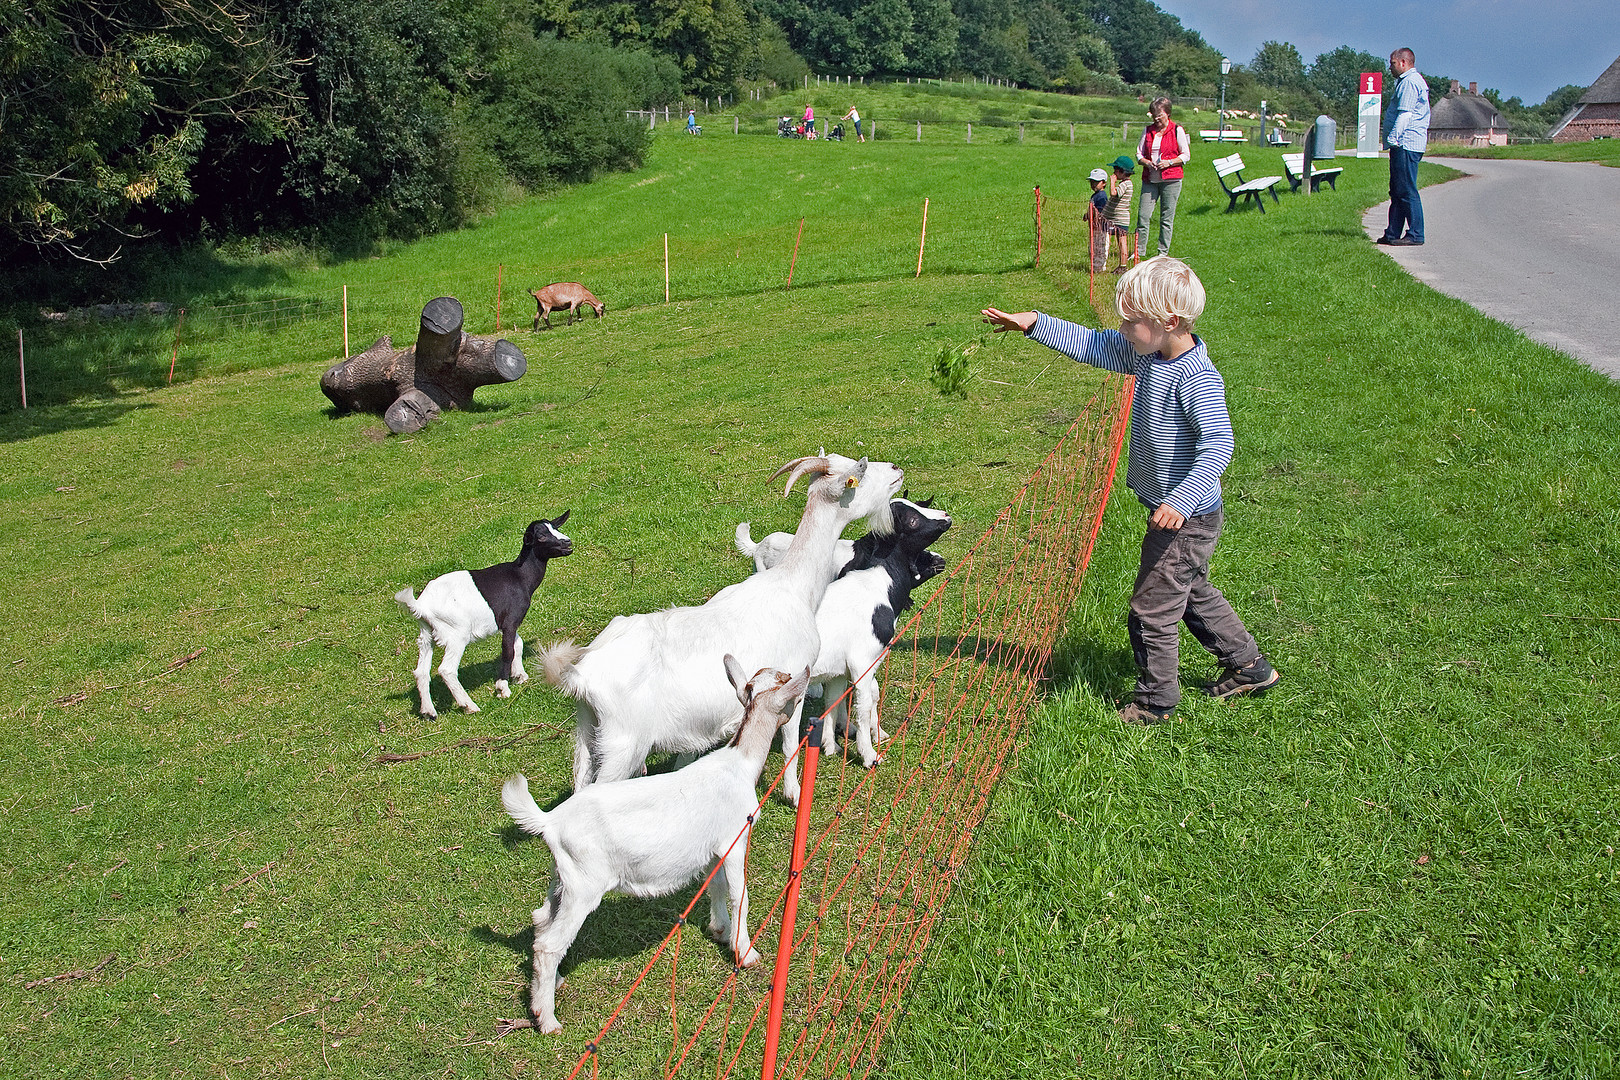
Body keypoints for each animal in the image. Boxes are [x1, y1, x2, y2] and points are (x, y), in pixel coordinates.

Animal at [396, 514, 576, 718]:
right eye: (542, 537)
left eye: (555, 528)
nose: (567, 542)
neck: (520, 576)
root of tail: (422, 606)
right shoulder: (510, 620)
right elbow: (508, 651)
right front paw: (502, 688)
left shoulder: (508, 622)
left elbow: (518, 644)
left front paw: (519, 675)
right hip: (456, 634)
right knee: (446, 670)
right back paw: (469, 705)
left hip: (426, 635)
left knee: (421, 672)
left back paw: (429, 711)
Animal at [498, 654, 810, 1036]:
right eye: (786, 682)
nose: (796, 683)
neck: (740, 762)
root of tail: (550, 822)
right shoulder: (735, 839)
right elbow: (740, 894)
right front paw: (746, 953)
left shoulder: (714, 848)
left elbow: (716, 886)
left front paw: (719, 930)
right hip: (584, 886)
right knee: (548, 944)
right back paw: (547, 1019)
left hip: (561, 877)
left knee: (541, 918)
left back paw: (551, 985)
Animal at [541, 453, 900, 806]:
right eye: (859, 474)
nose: (896, 469)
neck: (793, 586)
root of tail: (582, 674)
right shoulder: (793, 681)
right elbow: (789, 744)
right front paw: (794, 794)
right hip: (623, 746)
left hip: (588, 731)